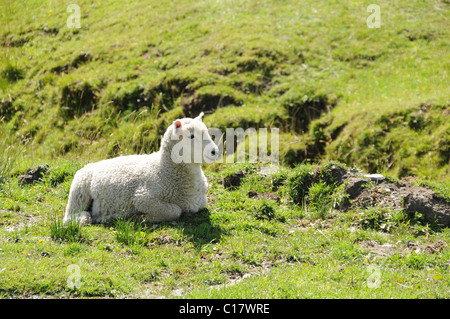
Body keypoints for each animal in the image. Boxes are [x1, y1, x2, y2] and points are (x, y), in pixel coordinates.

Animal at [62, 112, 220, 225]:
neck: (163, 171)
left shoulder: (200, 201)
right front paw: (143, 217)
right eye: (191, 136)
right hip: (80, 187)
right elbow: (175, 211)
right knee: (70, 215)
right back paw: (88, 218)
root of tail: (94, 164)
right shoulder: (143, 198)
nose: (214, 151)